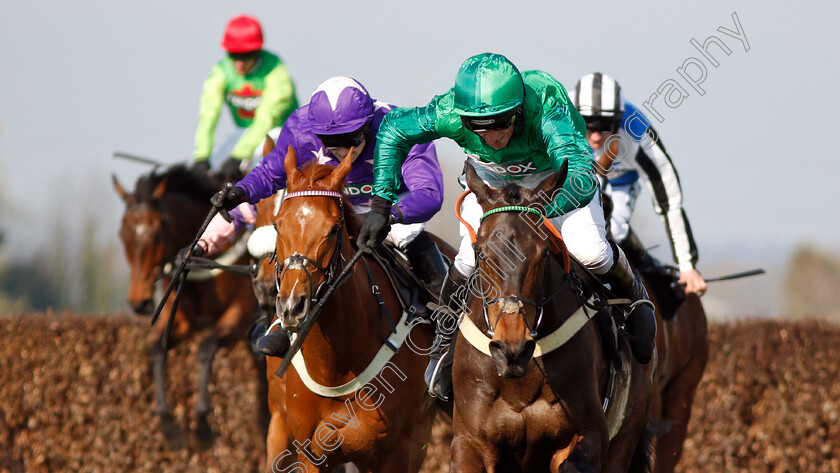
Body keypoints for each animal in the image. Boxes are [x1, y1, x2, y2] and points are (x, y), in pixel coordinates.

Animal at [111, 167, 262, 446]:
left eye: (156, 235)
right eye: (122, 235)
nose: (139, 302)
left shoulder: (240, 314)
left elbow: (205, 348)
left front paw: (202, 424)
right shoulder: (183, 320)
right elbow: (156, 351)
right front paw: (167, 423)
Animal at [266, 146, 442, 470]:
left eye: (333, 229)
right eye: (277, 225)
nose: (292, 305)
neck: (335, 368)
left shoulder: (395, 452)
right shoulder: (309, 452)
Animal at [450, 160, 660, 470]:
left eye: (544, 253)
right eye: (481, 252)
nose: (512, 349)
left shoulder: (589, 431)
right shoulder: (470, 440)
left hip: (629, 429)